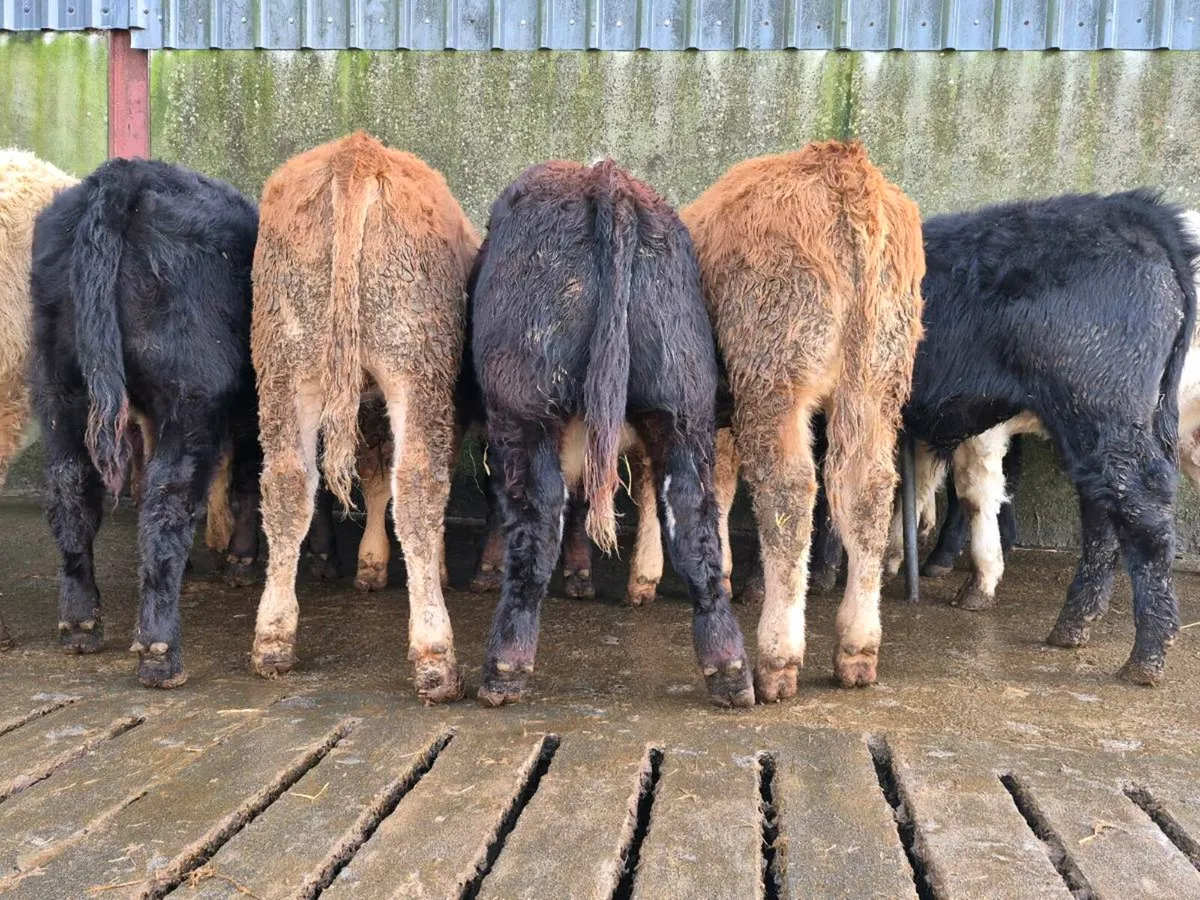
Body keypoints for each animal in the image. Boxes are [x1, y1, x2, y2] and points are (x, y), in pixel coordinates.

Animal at [30, 157, 259, 687]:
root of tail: (126, 173)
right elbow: (248, 479)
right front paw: (240, 559)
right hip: (192, 394)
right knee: (167, 501)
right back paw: (160, 652)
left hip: (59, 390)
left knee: (71, 491)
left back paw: (80, 625)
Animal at [249, 132, 477, 703]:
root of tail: (358, 152)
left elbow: (372, 476)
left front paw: (370, 564)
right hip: (415, 366)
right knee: (417, 483)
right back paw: (435, 657)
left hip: (288, 363)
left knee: (288, 485)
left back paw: (272, 639)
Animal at [469, 158, 752, 708]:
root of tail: (605, 181)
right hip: (681, 408)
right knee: (695, 520)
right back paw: (729, 668)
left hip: (524, 409)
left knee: (536, 515)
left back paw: (504, 666)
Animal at [683, 141, 925, 701]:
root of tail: (844, 169)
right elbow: (721, 483)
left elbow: (719, 482)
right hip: (877, 375)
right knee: (867, 490)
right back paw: (858, 647)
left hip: (774, 373)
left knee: (789, 495)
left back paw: (778, 658)